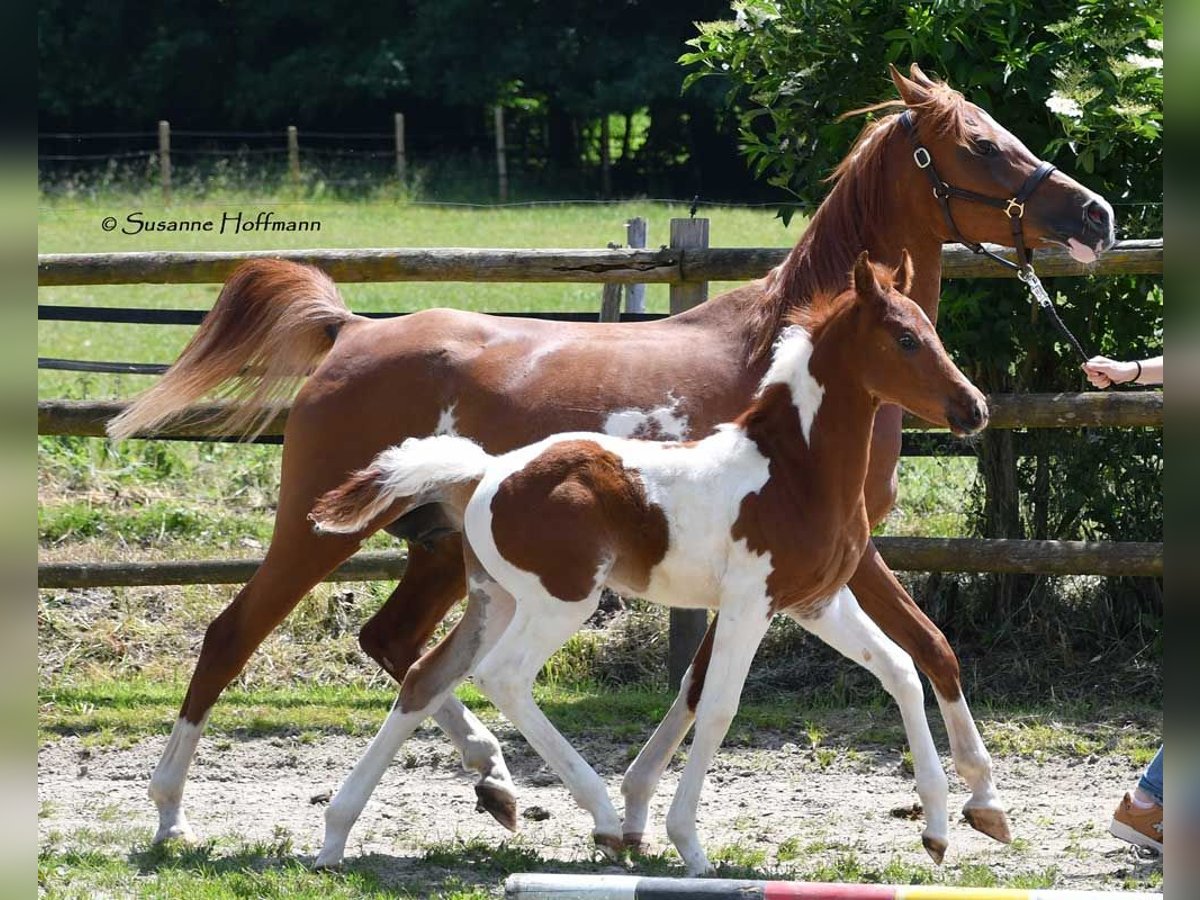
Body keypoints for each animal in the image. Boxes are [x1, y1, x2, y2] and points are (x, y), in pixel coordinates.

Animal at [309, 251, 989, 874]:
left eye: (931, 330)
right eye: (906, 339)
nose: (974, 407)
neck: (793, 473)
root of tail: (487, 471)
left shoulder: (817, 601)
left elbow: (902, 669)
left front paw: (938, 832)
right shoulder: (750, 604)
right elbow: (717, 707)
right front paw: (688, 843)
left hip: (496, 598)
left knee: (426, 678)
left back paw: (335, 837)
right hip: (562, 601)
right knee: (503, 676)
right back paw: (606, 819)